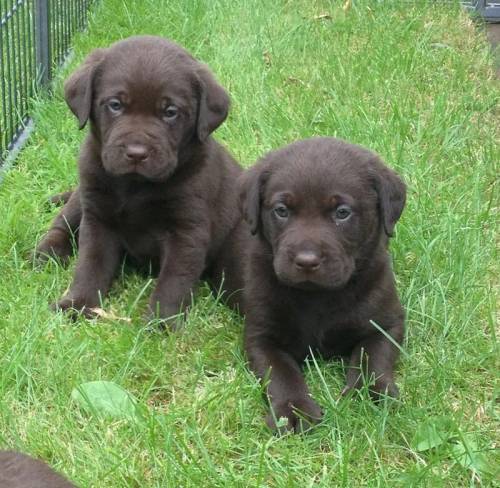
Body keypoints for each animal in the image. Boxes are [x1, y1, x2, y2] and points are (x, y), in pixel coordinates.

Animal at [34, 36, 241, 326]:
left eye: (170, 112)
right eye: (115, 105)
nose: (136, 153)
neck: (134, 187)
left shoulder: (187, 231)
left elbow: (174, 280)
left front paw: (161, 322)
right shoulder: (97, 217)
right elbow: (90, 264)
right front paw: (76, 304)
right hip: (82, 195)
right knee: (62, 223)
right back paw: (47, 252)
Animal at [214, 136, 406, 430]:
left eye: (342, 212)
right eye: (281, 210)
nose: (306, 261)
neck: (319, 297)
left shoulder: (386, 323)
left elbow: (372, 357)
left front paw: (374, 392)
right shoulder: (261, 336)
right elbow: (281, 373)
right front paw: (293, 409)